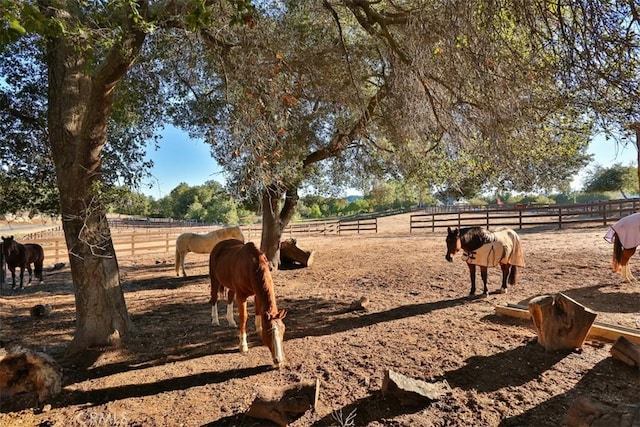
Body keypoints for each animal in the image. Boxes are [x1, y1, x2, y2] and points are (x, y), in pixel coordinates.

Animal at [209, 239, 286, 370]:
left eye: (283, 330)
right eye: (269, 332)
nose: (278, 360)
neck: (252, 265)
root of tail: (219, 244)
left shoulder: (256, 294)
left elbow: (258, 311)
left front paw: (258, 330)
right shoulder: (241, 295)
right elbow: (244, 317)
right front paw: (243, 345)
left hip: (231, 286)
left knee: (230, 297)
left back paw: (231, 321)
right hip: (214, 280)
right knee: (214, 298)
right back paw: (215, 320)